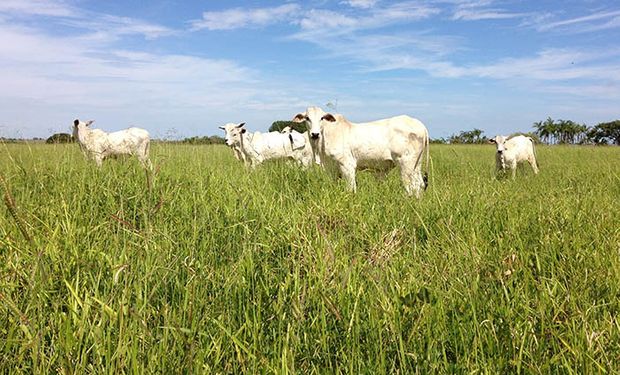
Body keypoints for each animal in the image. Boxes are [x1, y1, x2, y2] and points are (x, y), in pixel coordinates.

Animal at [292, 106, 428, 197]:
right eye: (307, 118)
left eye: (322, 118)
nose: (315, 134)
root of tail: (419, 124)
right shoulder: (332, 168)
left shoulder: (347, 165)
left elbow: (350, 188)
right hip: (416, 164)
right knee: (420, 184)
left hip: (406, 165)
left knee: (411, 186)